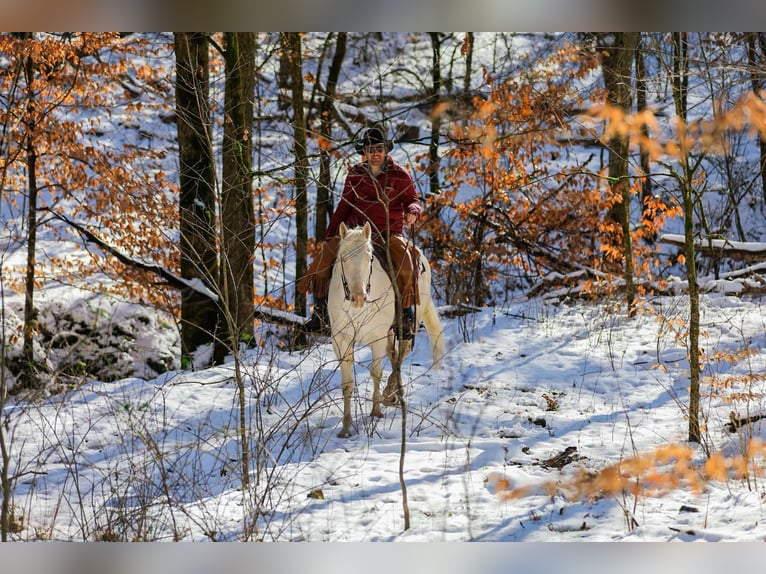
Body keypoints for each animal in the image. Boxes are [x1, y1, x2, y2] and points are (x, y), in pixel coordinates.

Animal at [328, 223, 448, 438]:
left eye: (369, 257)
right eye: (343, 257)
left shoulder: (377, 337)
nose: (359, 297)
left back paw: (389, 394)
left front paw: (376, 411)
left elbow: (376, 372)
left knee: (402, 352)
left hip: (408, 323)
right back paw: (392, 393)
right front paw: (346, 426)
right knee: (394, 355)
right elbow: (347, 384)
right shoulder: (341, 340)